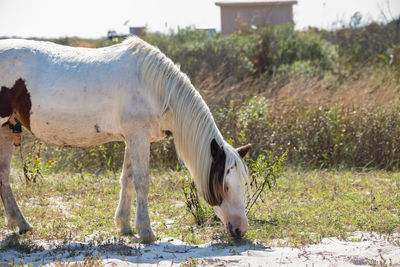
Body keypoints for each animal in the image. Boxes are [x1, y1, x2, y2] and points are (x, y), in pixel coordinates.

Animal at [0, 36, 250, 242]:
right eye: (225, 186)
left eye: (243, 184)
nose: (241, 228)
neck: (154, 87)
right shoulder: (138, 137)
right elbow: (142, 182)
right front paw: (146, 231)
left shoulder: (134, 138)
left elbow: (127, 179)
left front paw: (125, 225)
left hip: (6, 129)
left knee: (4, 177)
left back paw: (20, 224)